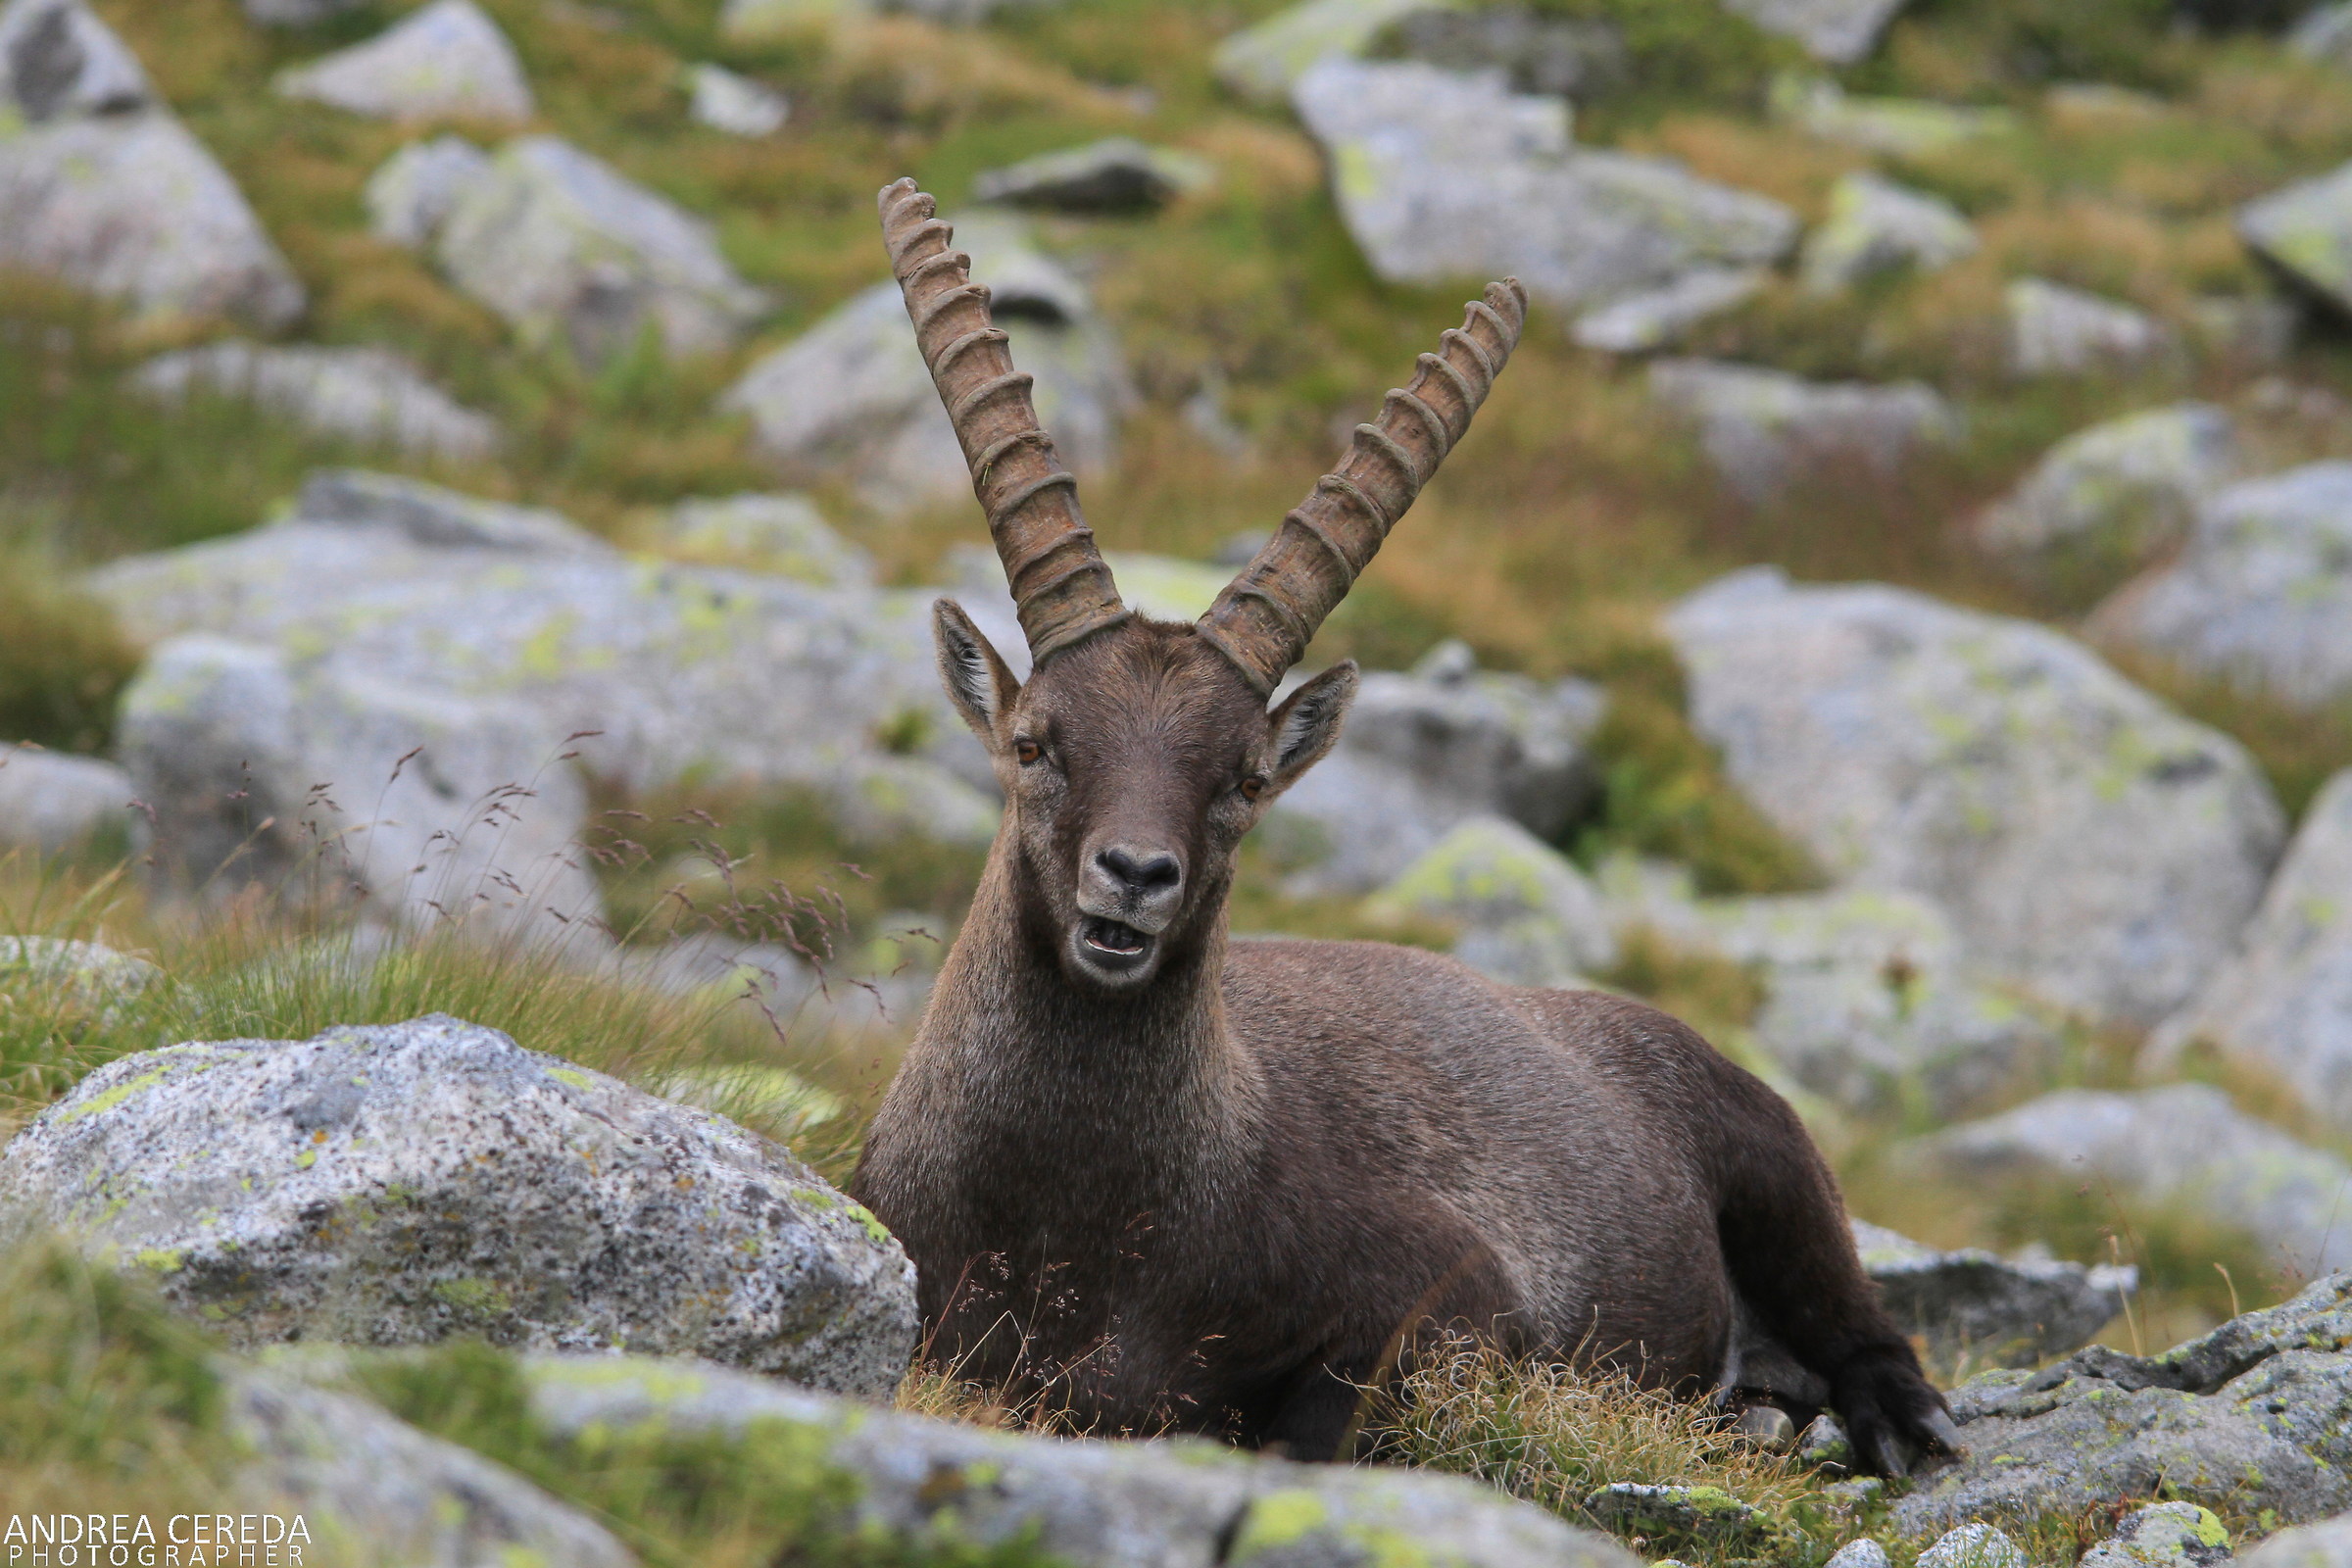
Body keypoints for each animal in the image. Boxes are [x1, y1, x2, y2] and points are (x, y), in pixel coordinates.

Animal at [852, 179, 1960, 1473]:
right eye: (1035, 744)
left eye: (1244, 779)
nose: (1133, 874)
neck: (1083, 1225)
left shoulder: (1453, 1297)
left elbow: (1325, 1419)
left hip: (1778, 1167)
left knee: (1861, 1322)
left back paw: (1883, 1421)